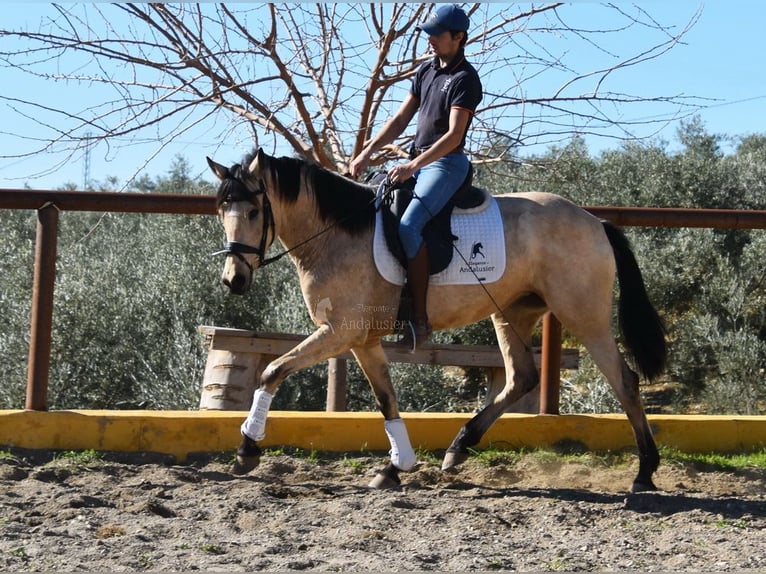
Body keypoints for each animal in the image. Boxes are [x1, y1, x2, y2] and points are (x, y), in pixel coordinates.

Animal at [207, 148, 668, 496]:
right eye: (221, 210)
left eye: (253, 210)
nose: (234, 280)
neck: (337, 231)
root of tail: (594, 221)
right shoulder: (361, 340)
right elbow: (386, 399)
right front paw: (396, 467)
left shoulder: (340, 332)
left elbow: (272, 370)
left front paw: (247, 450)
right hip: (512, 312)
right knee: (521, 377)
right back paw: (459, 447)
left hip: (583, 314)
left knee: (624, 381)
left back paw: (644, 472)